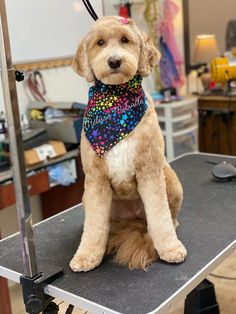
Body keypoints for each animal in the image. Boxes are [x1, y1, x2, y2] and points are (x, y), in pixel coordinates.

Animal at [69, 14, 187, 272]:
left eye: (125, 40)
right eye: (100, 43)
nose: (114, 61)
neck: (116, 100)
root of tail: (133, 219)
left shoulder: (150, 171)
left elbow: (160, 216)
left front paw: (169, 248)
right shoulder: (96, 180)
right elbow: (94, 227)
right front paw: (86, 255)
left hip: (171, 180)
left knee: (169, 217)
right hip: (88, 199)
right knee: (104, 225)